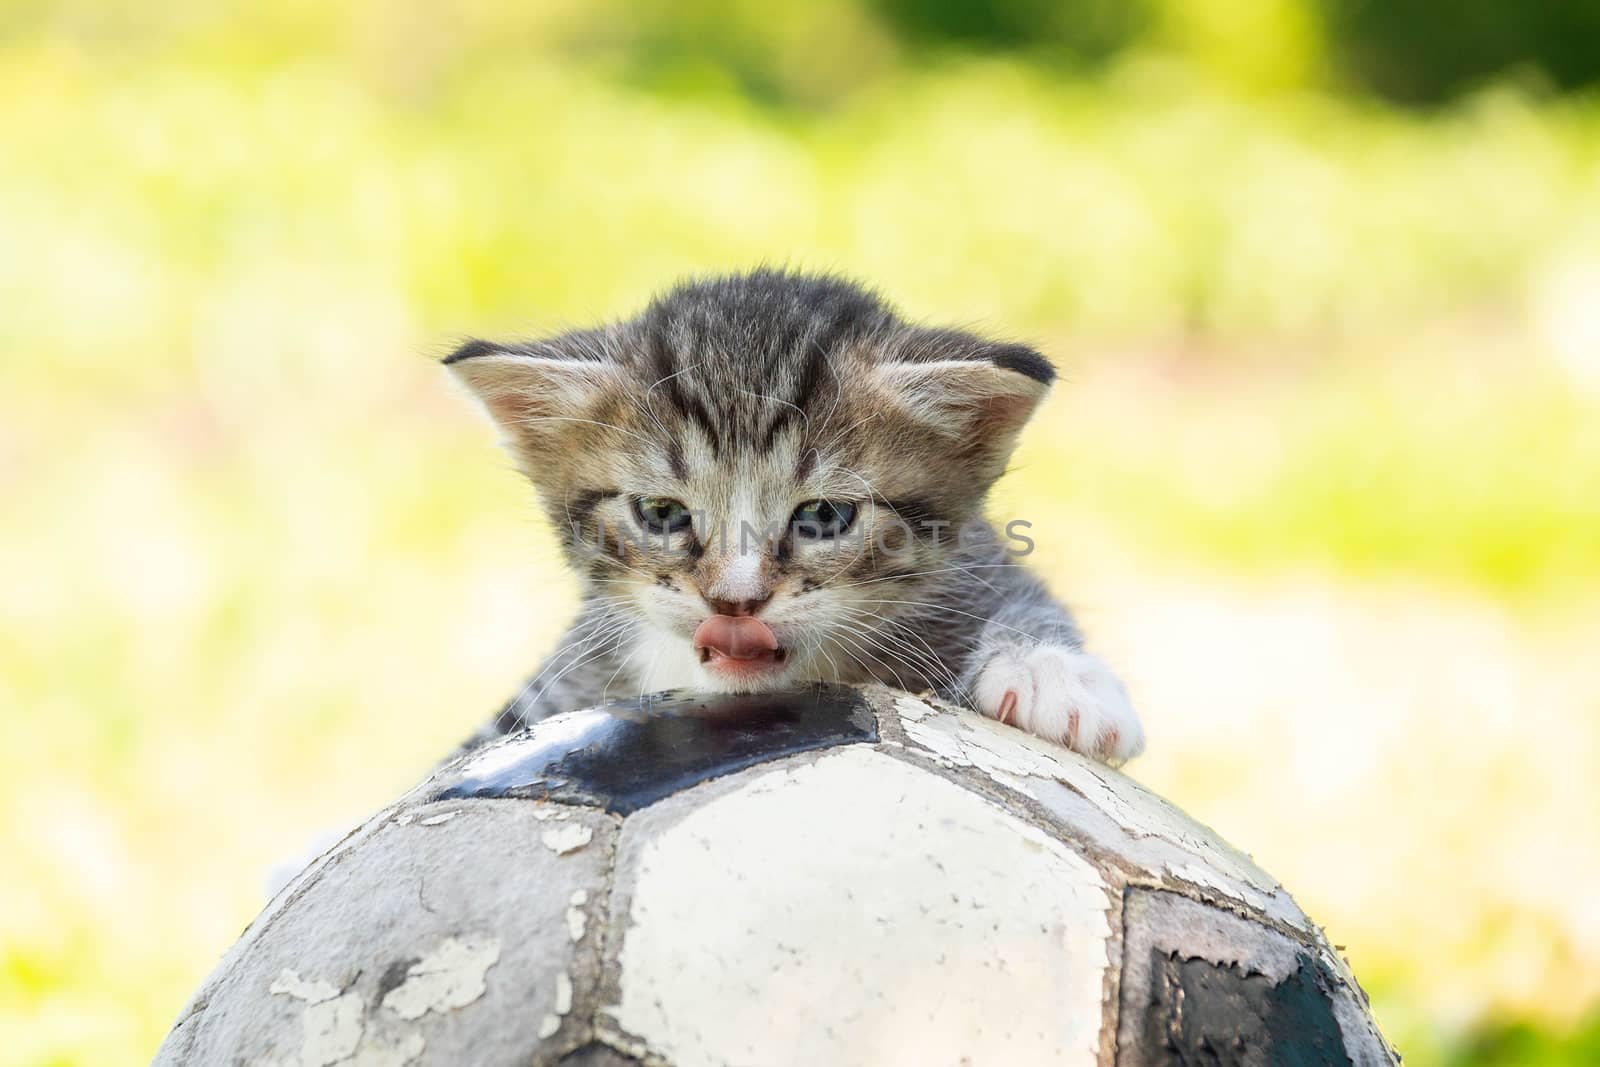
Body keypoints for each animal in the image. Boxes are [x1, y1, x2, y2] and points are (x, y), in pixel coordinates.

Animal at [451, 271, 1145, 764]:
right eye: (661, 512)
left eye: (823, 516)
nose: (735, 604)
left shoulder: (974, 563)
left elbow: (1022, 594)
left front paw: (1052, 675)